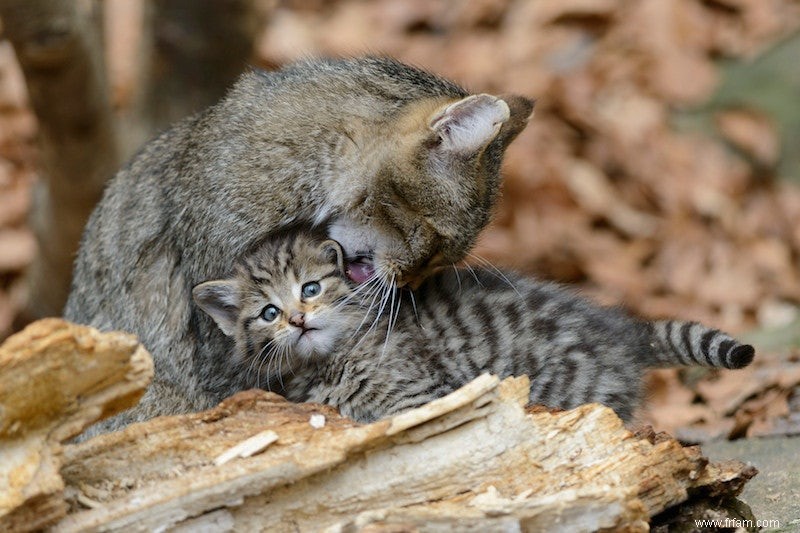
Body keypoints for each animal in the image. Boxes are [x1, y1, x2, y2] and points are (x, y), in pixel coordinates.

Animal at [194, 231, 756, 422]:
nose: (296, 318)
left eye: (310, 288)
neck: (333, 360)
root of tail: (620, 330)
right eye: (268, 313)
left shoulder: (424, 395)